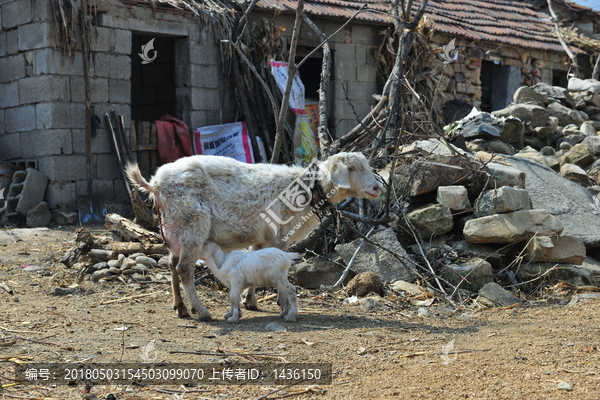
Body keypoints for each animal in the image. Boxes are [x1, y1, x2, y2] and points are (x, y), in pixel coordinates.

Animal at [126, 152, 380, 320]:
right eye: (352, 168)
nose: (377, 188)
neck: (306, 189)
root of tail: (156, 184)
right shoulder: (280, 236)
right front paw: (281, 303)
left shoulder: (261, 237)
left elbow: (255, 258)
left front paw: (250, 301)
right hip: (192, 225)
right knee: (184, 269)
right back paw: (202, 311)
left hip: (174, 231)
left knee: (171, 265)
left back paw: (180, 307)